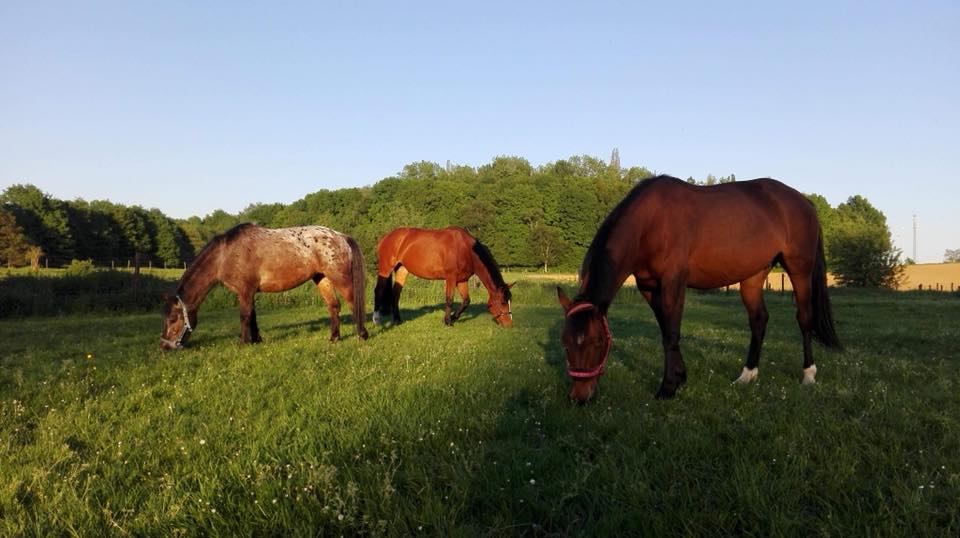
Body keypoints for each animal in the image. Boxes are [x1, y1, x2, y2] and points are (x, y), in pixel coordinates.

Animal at [159, 222, 370, 348]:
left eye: (173, 319)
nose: (164, 346)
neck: (224, 256)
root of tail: (341, 236)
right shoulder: (249, 292)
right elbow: (252, 316)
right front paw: (256, 340)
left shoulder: (245, 291)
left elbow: (244, 316)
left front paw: (244, 342)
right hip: (322, 279)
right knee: (334, 306)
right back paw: (334, 338)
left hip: (340, 279)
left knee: (353, 304)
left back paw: (362, 335)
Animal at [372, 224, 512, 324]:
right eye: (503, 302)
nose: (509, 324)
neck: (466, 249)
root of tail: (385, 237)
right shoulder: (451, 278)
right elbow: (449, 299)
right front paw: (448, 321)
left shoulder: (462, 280)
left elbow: (466, 301)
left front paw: (453, 317)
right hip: (385, 269)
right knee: (378, 290)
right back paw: (376, 319)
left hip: (401, 270)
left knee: (396, 294)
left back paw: (397, 320)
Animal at [556, 176, 840, 402]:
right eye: (565, 341)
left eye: (598, 341)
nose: (579, 397)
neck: (650, 222)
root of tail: (805, 202)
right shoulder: (648, 287)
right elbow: (666, 330)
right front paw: (680, 377)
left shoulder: (673, 283)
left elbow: (671, 334)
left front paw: (668, 387)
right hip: (753, 276)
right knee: (759, 320)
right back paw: (747, 376)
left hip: (799, 269)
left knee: (804, 318)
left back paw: (808, 375)